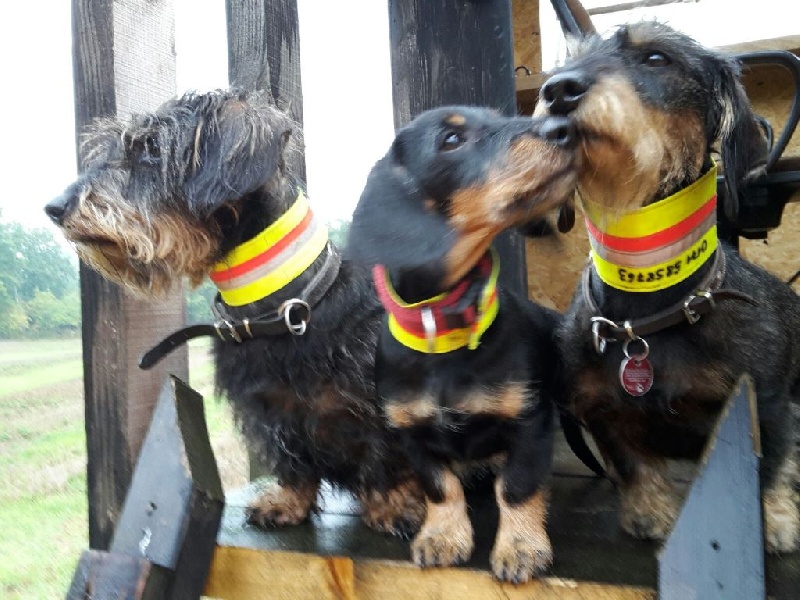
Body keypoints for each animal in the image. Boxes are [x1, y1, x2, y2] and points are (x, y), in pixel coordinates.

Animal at [44, 89, 427, 538]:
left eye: (152, 149)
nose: (55, 207)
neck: (284, 308)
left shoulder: (383, 409)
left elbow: (382, 455)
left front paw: (392, 506)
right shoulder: (268, 412)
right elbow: (292, 461)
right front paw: (287, 501)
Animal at [346, 106, 579, 582]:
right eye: (451, 140)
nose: (567, 128)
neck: (445, 332)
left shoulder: (530, 422)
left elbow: (517, 486)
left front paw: (521, 547)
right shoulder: (411, 434)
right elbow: (441, 487)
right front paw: (442, 537)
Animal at [536, 21, 799, 552]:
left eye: (656, 58)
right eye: (564, 64)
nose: (557, 92)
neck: (646, 311)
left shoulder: (768, 398)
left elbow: (772, 458)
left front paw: (774, 519)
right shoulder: (600, 409)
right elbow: (632, 462)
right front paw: (650, 512)